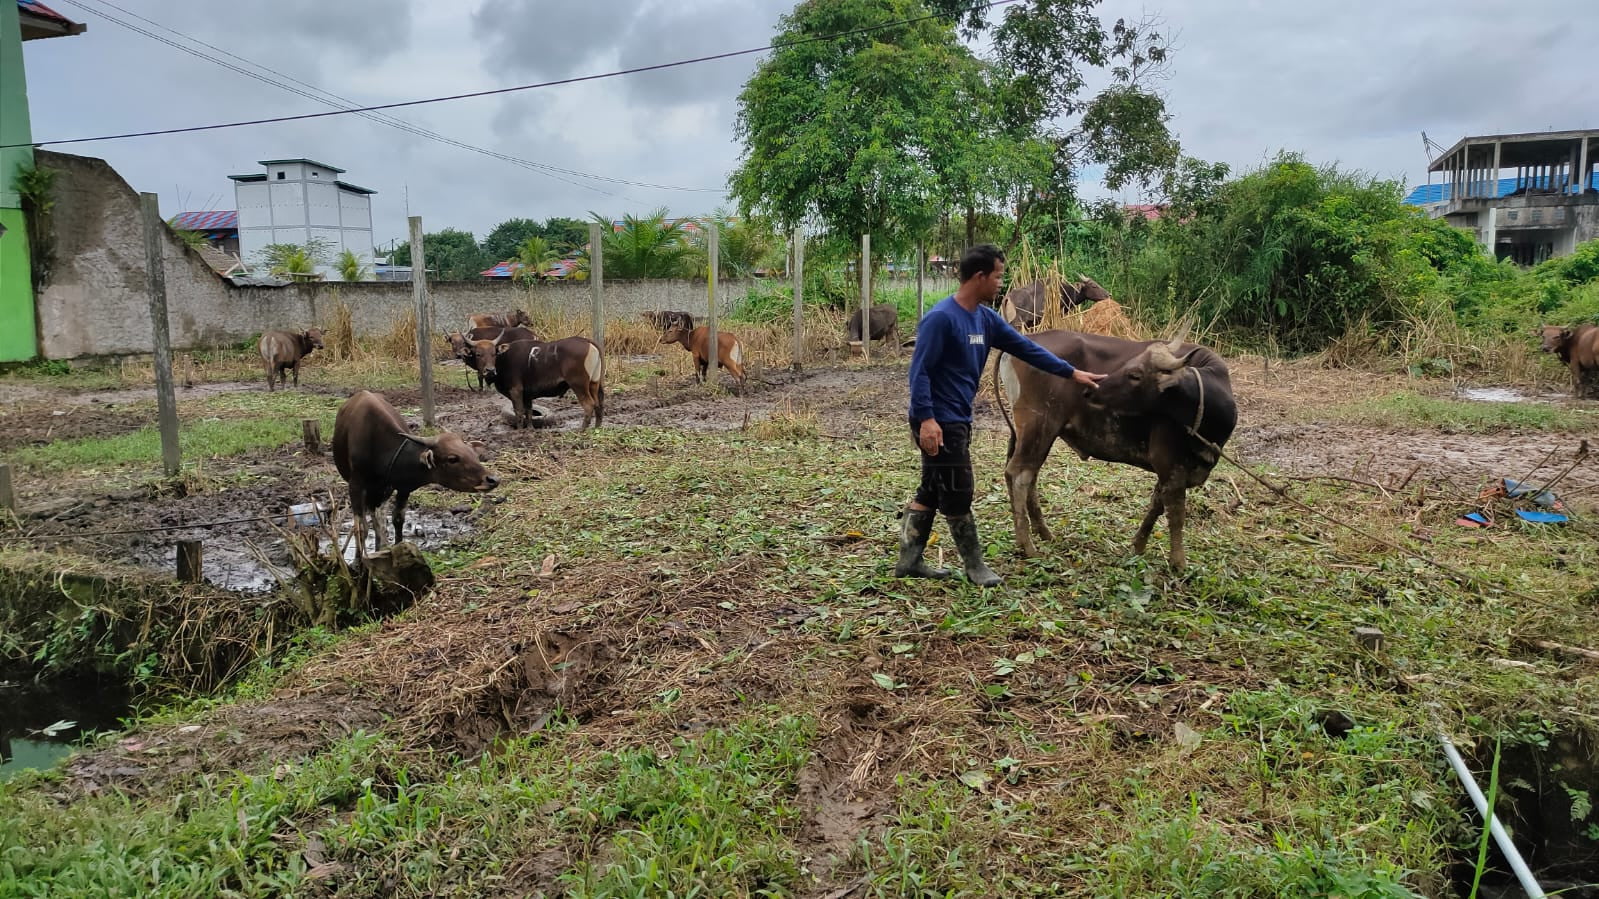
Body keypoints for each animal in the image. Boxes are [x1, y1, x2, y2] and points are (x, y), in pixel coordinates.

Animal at [329, 388, 492, 550]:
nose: (492, 479)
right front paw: (359, 558)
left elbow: (397, 518)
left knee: (378, 516)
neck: (381, 449)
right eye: (452, 459)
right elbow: (361, 528)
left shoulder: (402, 487)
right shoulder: (355, 486)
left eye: (472, 453)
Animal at [997, 332, 1234, 563]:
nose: (1091, 389)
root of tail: (1029, 339)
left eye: (1135, 374)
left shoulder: (1173, 472)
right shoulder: (1168, 463)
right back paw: (1027, 545)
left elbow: (1156, 504)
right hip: (1039, 426)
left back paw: (1043, 532)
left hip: (1032, 435)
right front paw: (1178, 564)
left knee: (1026, 474)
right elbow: (1176, 514)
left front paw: (1139, 545)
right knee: (1019, 474)